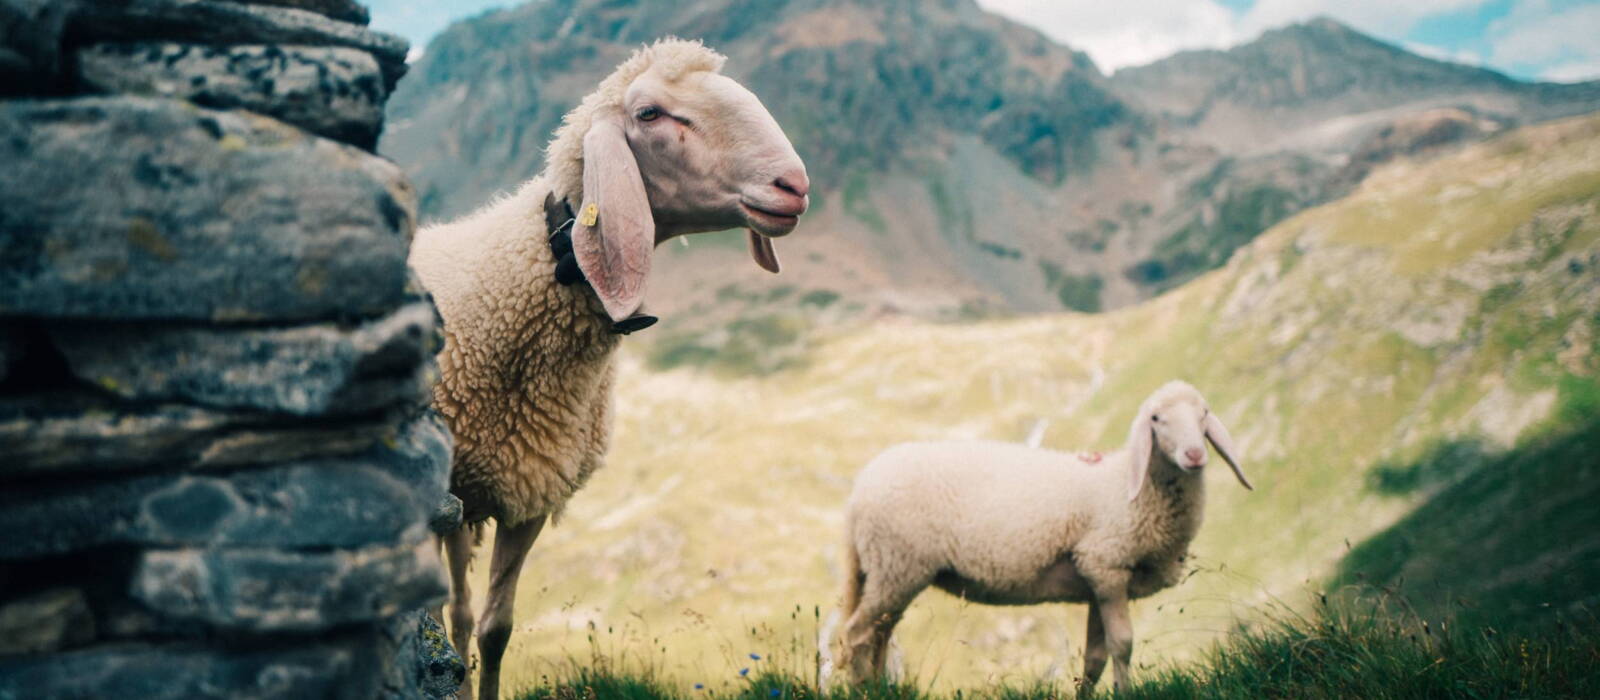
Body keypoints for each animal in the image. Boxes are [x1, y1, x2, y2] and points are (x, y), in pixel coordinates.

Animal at [409, 39, 812, 700]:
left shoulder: (533, 489)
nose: (794, 185)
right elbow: (457, 619)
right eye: (649, 113)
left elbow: (495, 628)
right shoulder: (450, 491)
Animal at [832, 380, 1254, 690]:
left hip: (891, 571)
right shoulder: (1107, 565)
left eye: (1203, 414)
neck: (1128, 486)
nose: (1195, 455)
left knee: (881, 633)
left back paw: (877, 687)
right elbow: (1123, 645)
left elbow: (1096, 657)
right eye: (1156, 418)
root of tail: (858, 491)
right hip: (897, 564)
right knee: (857, 635)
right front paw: (1125, 692)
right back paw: (862, 689)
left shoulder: (1096, 582)